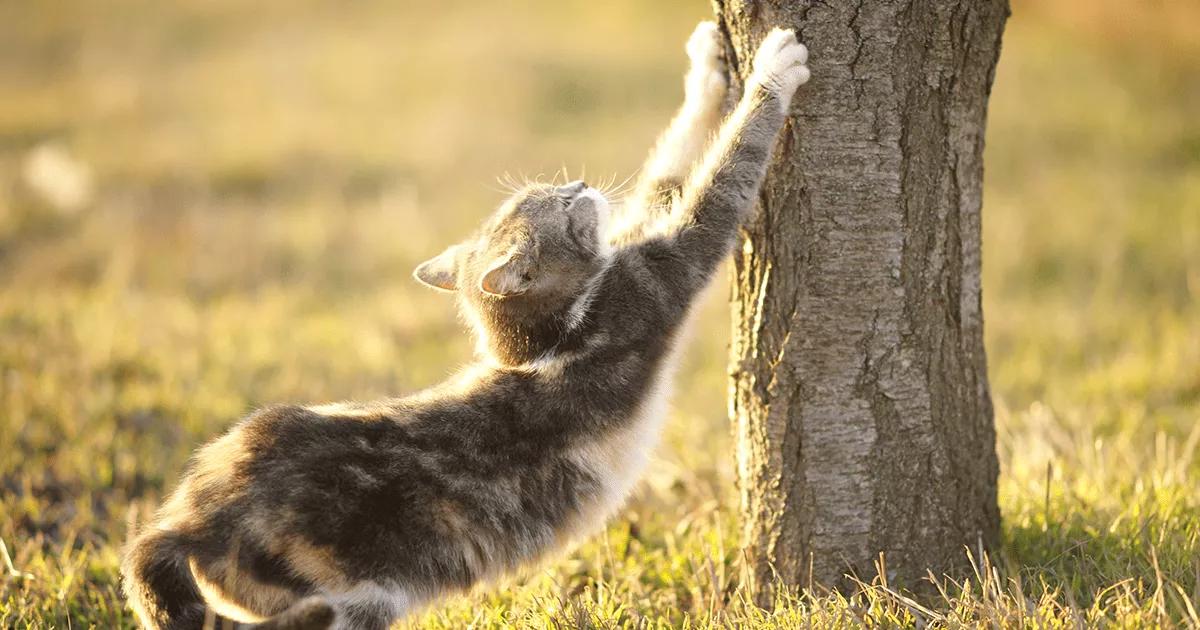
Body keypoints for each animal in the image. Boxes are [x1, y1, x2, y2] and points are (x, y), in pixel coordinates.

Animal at [121, 23, 811, 628]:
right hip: (354, 596)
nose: (580, 182)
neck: (544, 340)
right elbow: (719, 179)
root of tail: (185, 519)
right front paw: (773, 71)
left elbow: (666, 174)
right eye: (559, 205)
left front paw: (706, 66)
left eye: (549, 190)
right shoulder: (651, 283)